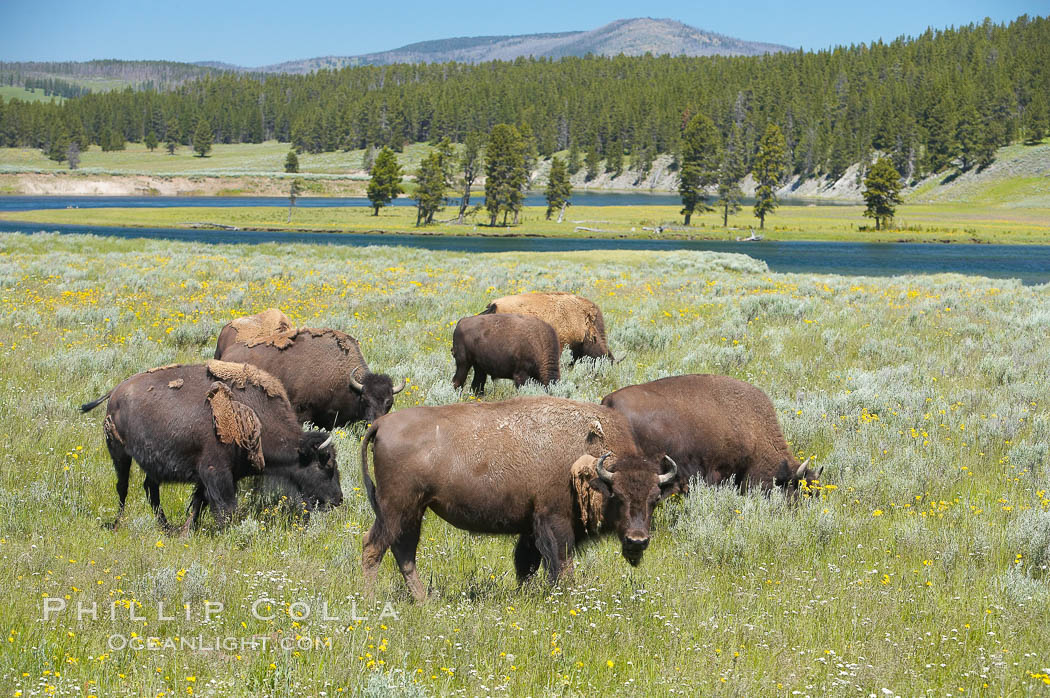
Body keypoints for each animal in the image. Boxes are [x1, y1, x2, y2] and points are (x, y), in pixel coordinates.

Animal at [82, 358, 344, 529]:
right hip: (119, 453)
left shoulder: (212, 475)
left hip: (150, 463)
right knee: (123, 487)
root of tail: (115, 392)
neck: (257, 417)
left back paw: (165, 526)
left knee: (150, 489)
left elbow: (200, 502)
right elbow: (225, 506)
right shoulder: (215, 471)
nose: (338, 500)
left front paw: (189, 529)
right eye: (325, 465)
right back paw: (118, 523)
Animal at [356, 394, 676, 600]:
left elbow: (526, 564)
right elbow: (561, 563)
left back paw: (423, 599)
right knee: (374, 546)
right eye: (617, 496)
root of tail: (382, 423)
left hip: (413, 511)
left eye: (654, 499)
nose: (637, 541)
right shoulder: (553, 520)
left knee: (403, 551)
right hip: (396, 508)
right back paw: (371, 600)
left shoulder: (530, 528)